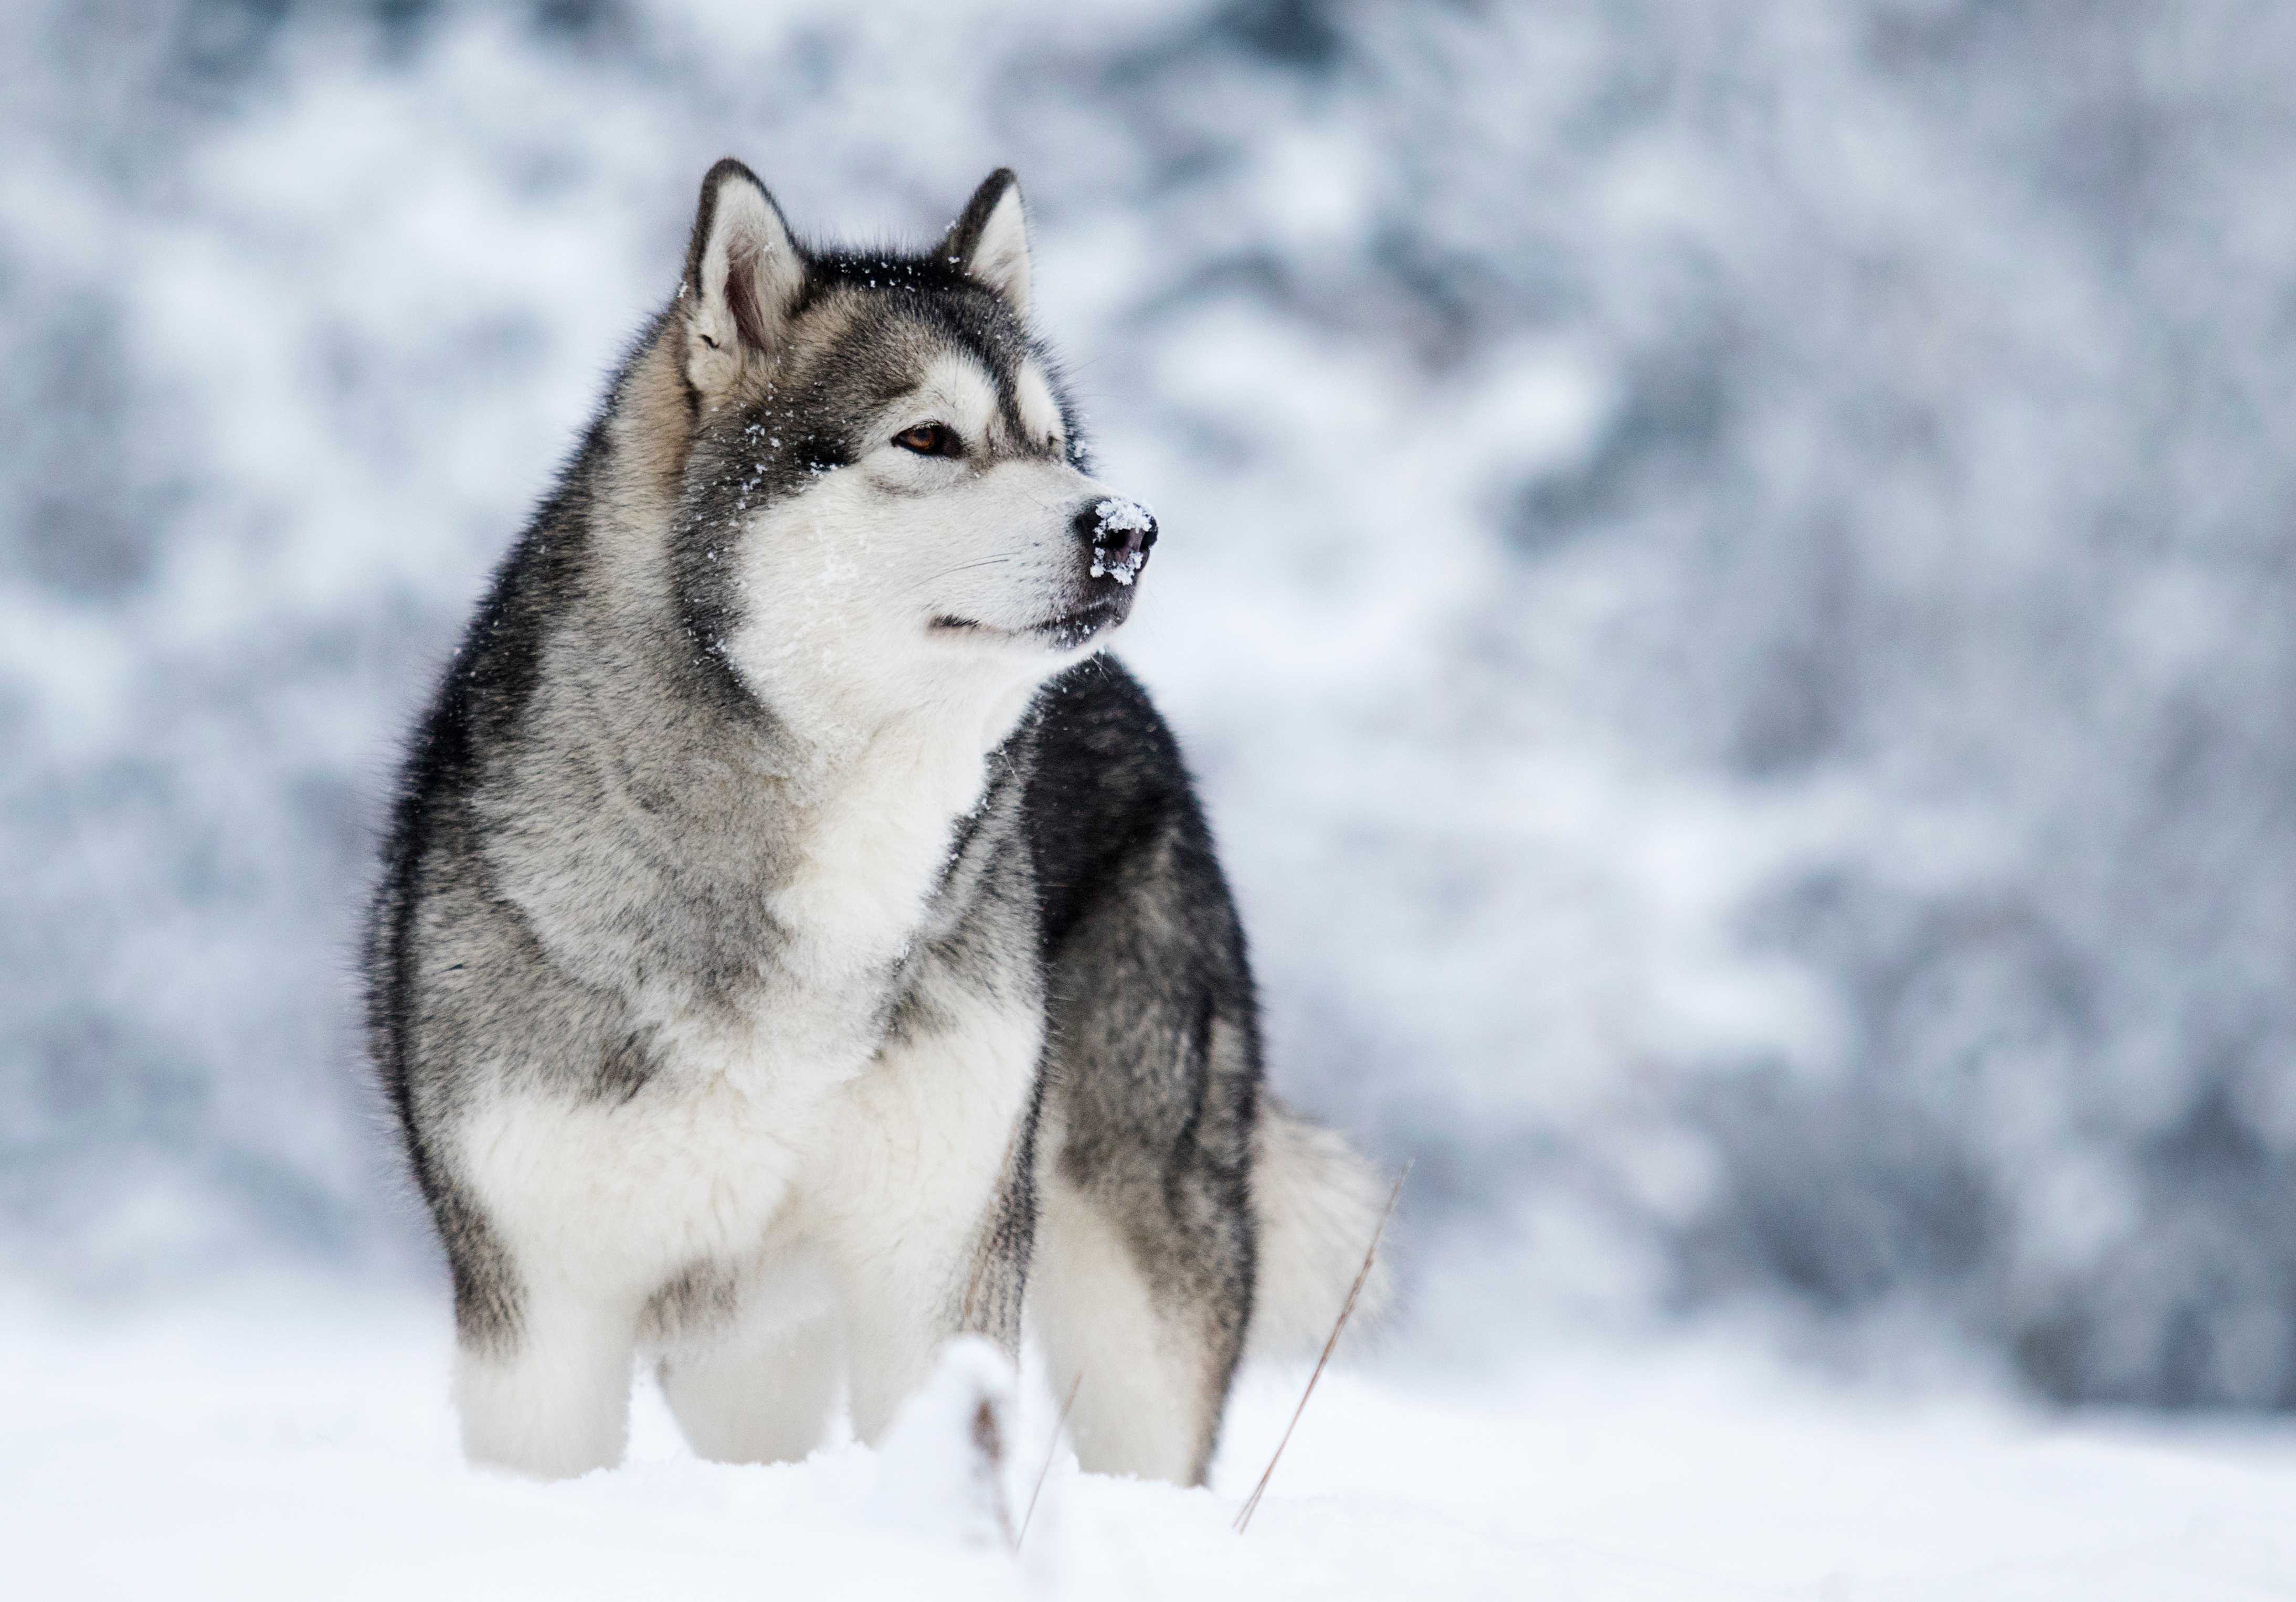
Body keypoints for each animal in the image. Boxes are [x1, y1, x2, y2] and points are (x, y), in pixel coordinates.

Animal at [367, 156, 1387, 1478]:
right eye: (930, 437)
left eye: (1053, 445)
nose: (1128, 530)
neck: (838, 834)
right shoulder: (541, 1310)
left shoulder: (942, 1254)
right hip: (743, 1361)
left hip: (1131, 1278)